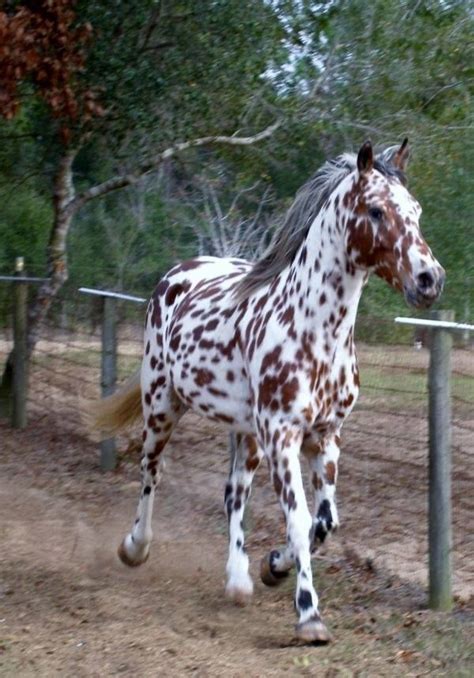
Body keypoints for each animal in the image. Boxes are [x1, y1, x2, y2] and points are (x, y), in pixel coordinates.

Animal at [93, 141, 444, 644]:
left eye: (415, 211)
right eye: (377, 211)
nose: (429, 280)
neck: (315, 331)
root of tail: (178, 273)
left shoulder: (324, 437)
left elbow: (324, 522)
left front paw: (273, 566)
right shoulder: (283, 436)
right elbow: (299, 521)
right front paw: (309, 615)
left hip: (245, 433)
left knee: (233, 493)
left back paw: (238, 580)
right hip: (162, 406)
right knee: (151, 472)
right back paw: (134, 548)